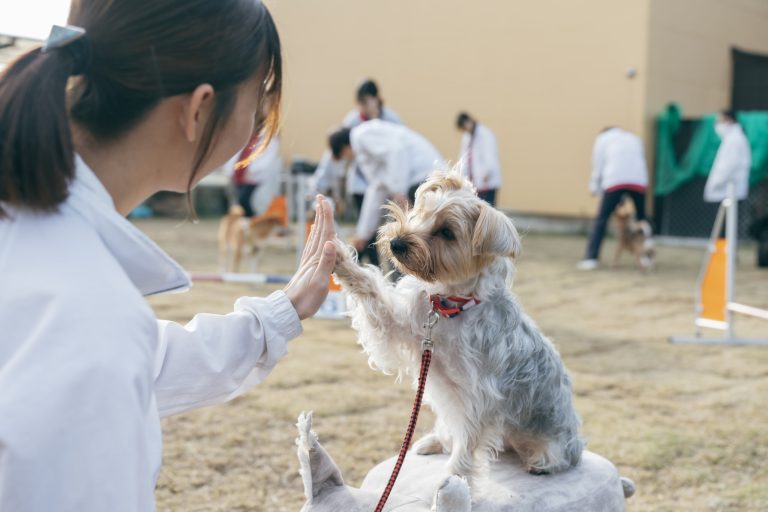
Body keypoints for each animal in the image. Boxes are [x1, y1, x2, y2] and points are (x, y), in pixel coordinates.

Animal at [332, 171, 584, 488]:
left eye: (447, 232)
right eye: (423, 212)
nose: (397, 243)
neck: (449, 307)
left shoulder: (479, 395)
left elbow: (468, 442)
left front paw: (453, 480)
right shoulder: (401, 329)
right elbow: (371, 289)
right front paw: (338, 258)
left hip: (555, 437)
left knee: (557, 454)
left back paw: (541, 462)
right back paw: (435, 442)